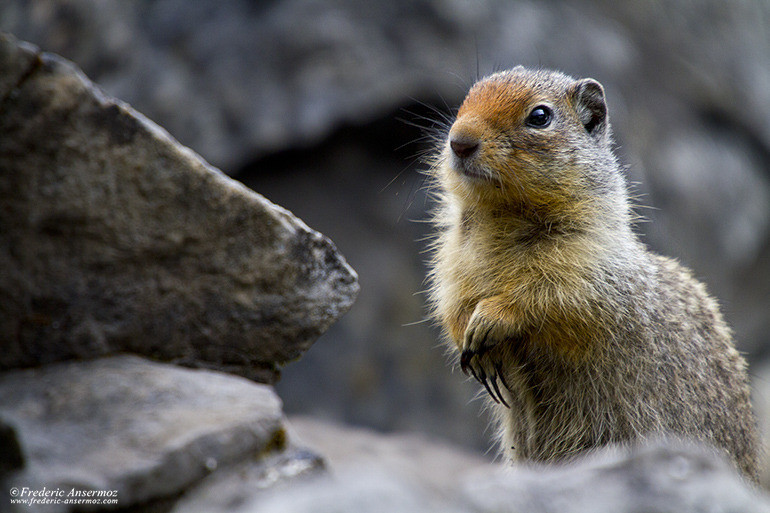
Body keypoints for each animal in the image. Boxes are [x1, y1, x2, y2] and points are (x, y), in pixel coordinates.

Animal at [426, 66, 756, 478]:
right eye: (467, 98)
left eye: (540, 116)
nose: (459, 142)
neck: (502, 216)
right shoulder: (452, 261)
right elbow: (451, 302)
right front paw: (469, 341)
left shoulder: (591, 264)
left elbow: (555, 298)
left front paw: (490, 319)